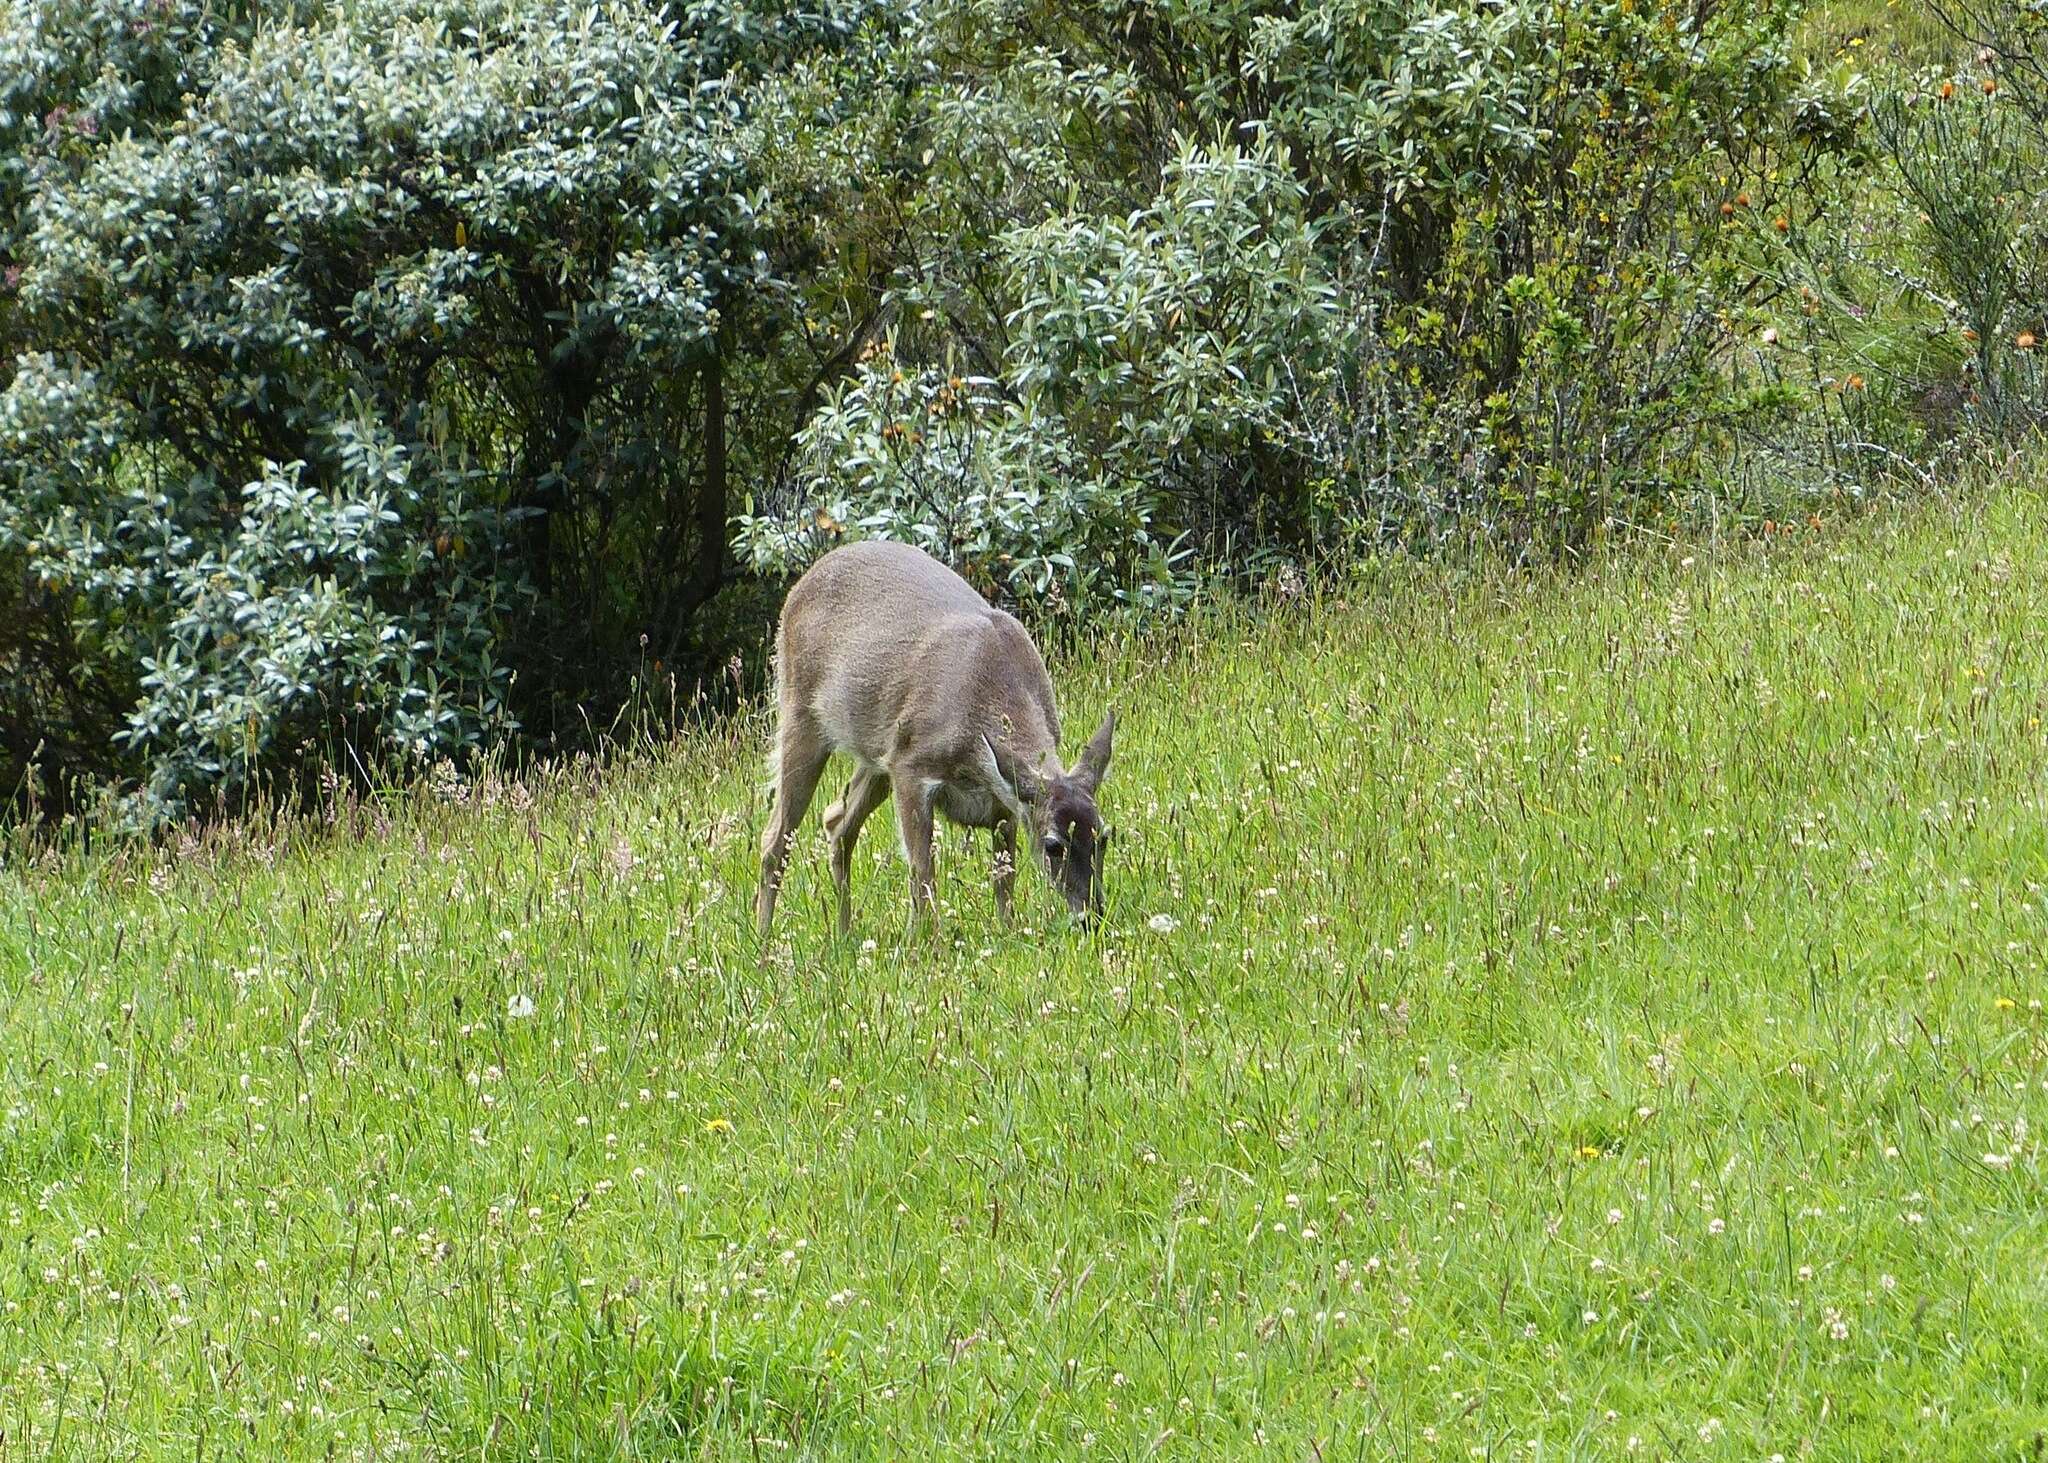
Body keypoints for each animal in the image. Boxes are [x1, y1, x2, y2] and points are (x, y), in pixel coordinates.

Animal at [753, 536, 1114, 934]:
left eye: (1104, 837)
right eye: (1053, 845)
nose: (1091, 917)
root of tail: (801, 584)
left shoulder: (1003, 798)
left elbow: (1004, 877)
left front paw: (1008, 930)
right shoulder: (912, 766)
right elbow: (922, 874)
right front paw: (925, 941)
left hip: (879, 751)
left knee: (837, 822)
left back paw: (844, 934)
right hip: (801, 713)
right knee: (774, 838)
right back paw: (765, 940)